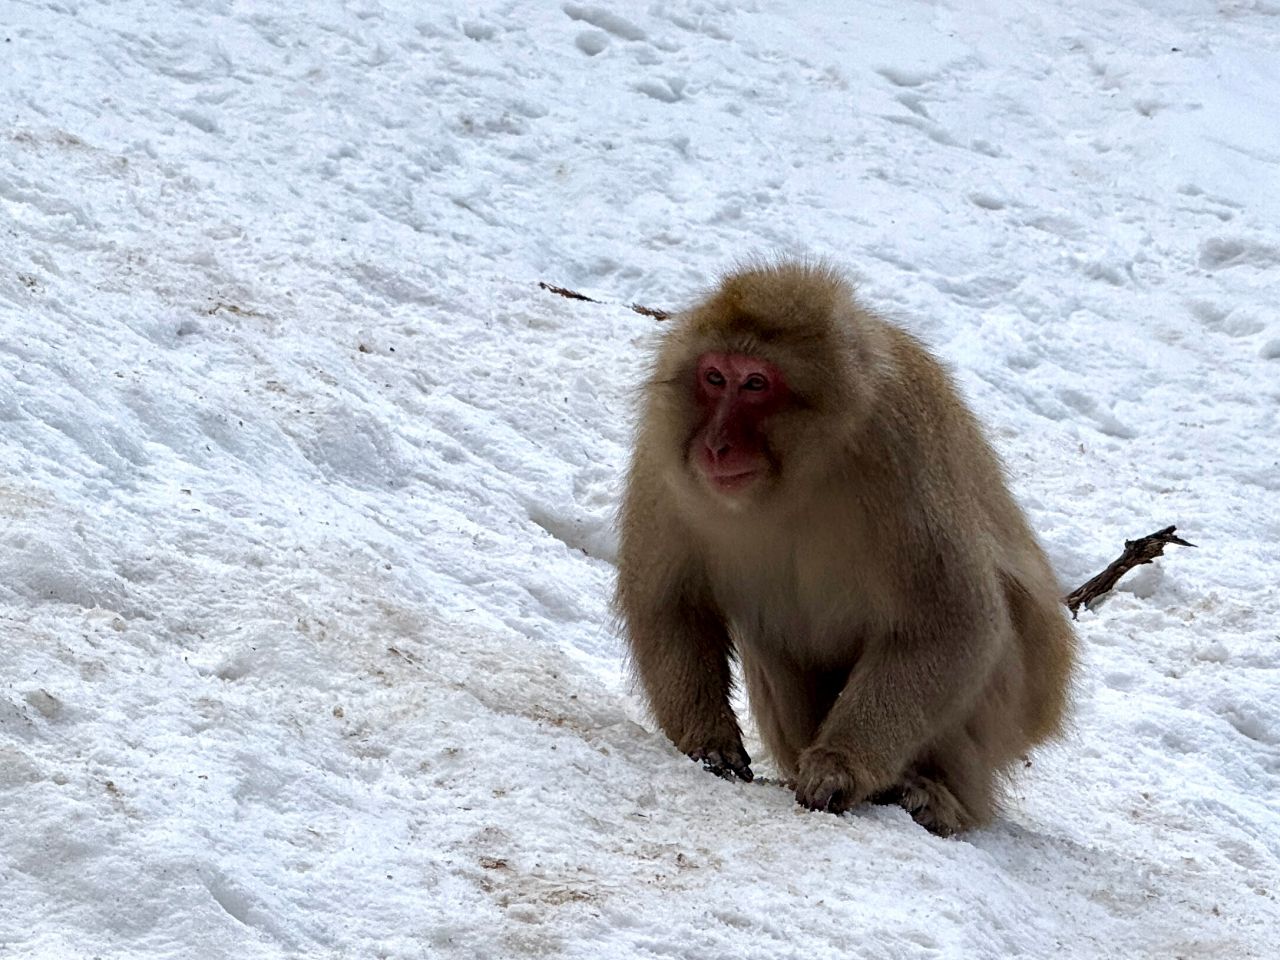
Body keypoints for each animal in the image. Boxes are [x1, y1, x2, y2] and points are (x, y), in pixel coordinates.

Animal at [615, 259, 1075, 835]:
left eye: (756, 384)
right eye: (715, 378)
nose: (716, 445)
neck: (798, 478)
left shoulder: (899, 447)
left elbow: (952, 625)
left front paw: (840, 768)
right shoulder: (665, 450)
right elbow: (670, 603)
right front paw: (710, 740)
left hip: (1013, 717)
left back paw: (943, 800)